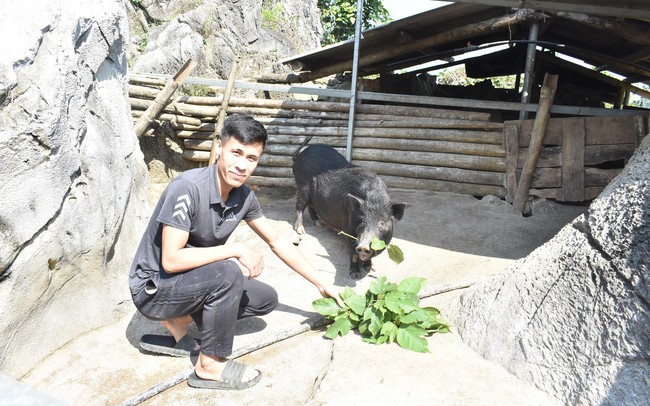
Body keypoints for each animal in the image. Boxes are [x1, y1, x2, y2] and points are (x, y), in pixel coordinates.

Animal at [290, 140, 402, 280]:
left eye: (382, 223)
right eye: (362, 220)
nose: (363, 245)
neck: (374, 198)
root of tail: (302, 152)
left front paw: (371, 268)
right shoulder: (348, 228)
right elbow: (352, 252)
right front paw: (355, 275)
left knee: (311, 207)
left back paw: (319, 224)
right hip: (302, 187)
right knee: (299, 207)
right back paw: (301, 231)